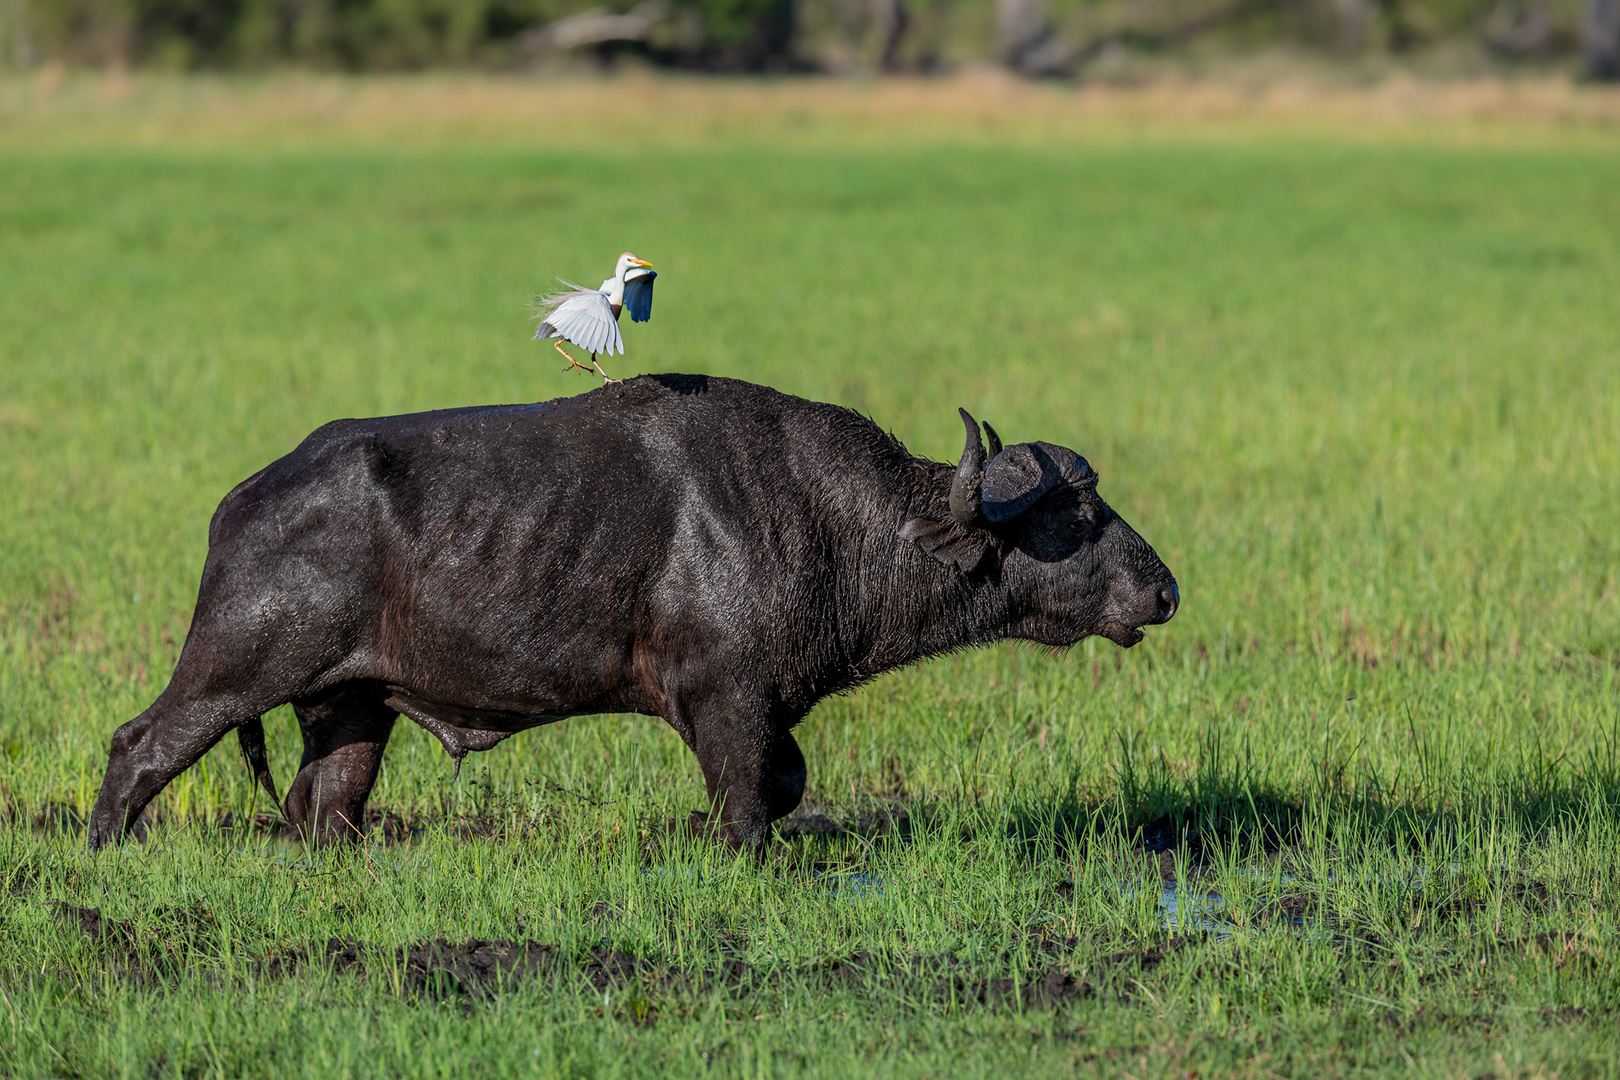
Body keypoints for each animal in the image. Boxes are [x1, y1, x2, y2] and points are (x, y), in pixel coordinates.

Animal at [88, 372, 1179, 854]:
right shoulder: (722, 698)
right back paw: (106, 851)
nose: (1164, 589)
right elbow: (748, 805)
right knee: (138, 745)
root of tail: (244, 501)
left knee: (323, 805)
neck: (835, 520)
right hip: (236, 668)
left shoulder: (763, 708)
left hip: (351, 706)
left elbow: (785, 782)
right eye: (1071, 516)